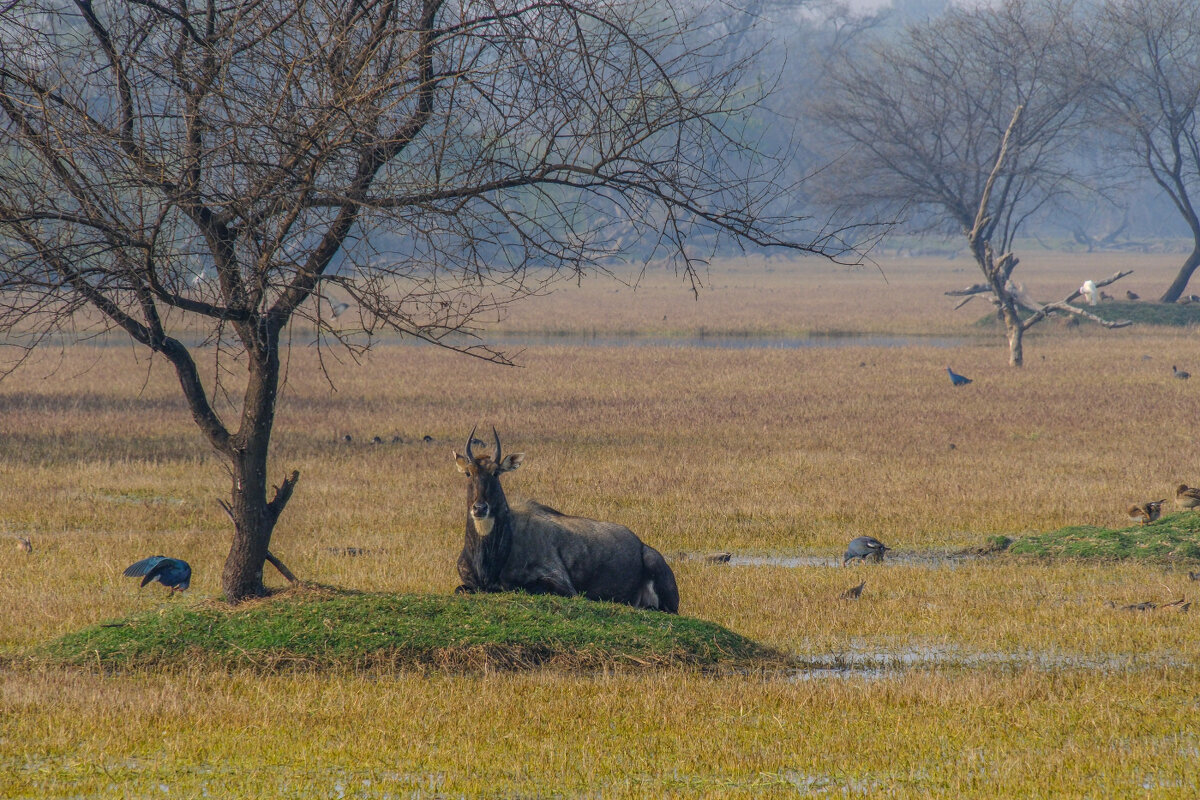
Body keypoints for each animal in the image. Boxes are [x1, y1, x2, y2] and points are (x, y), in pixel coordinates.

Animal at [451, 431, 681, 614]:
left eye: (496, 472)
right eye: (468, 473)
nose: (480, 508)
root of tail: (641, 544)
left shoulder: (562, 585)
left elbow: (516, 587)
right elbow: (460, 589)